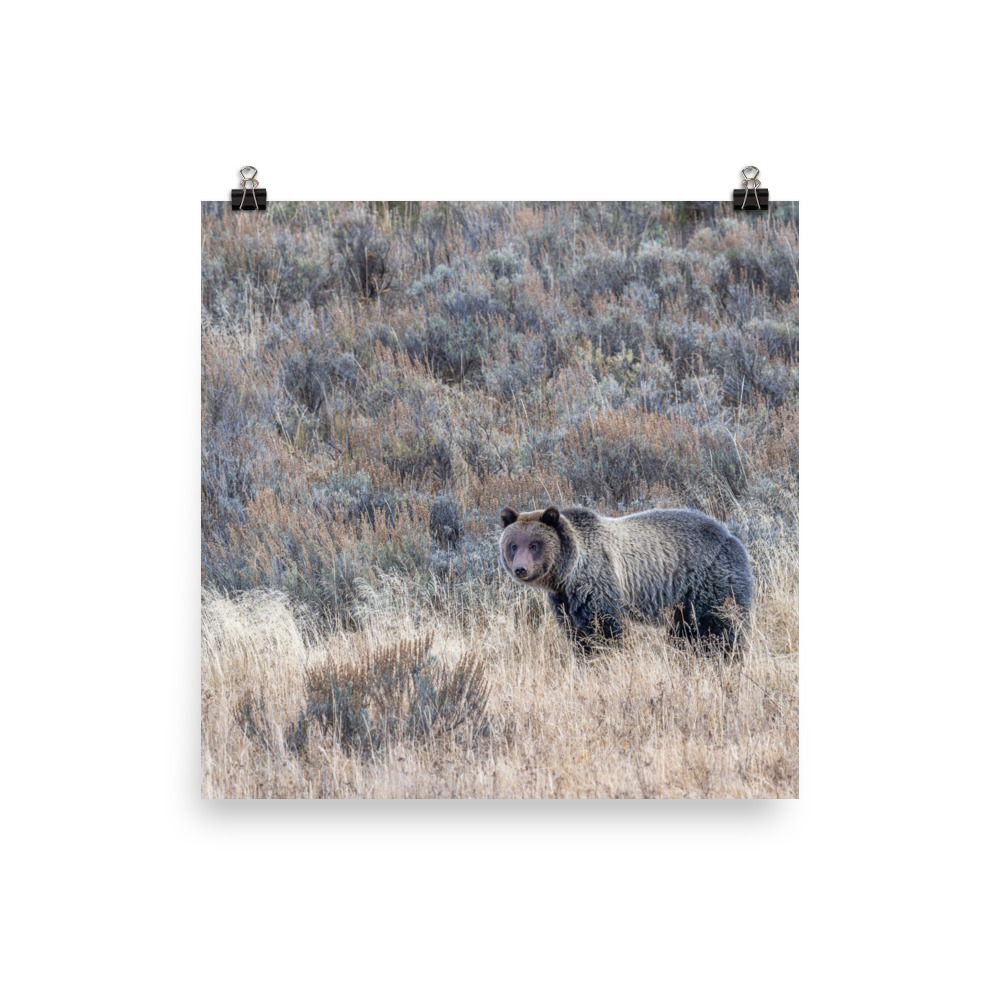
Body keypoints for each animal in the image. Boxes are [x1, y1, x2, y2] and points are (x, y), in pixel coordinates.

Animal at [499, 504, 753, 652]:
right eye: (513, 545)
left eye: (534, 545)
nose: (521, 569)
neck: (568, 574)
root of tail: (730, 536)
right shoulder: (564, 600)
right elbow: (576, 633)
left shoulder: (598, 583)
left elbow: (605, 629)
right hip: (682, 602)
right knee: (685, 631)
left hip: (709, 580)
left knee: (720, 625)